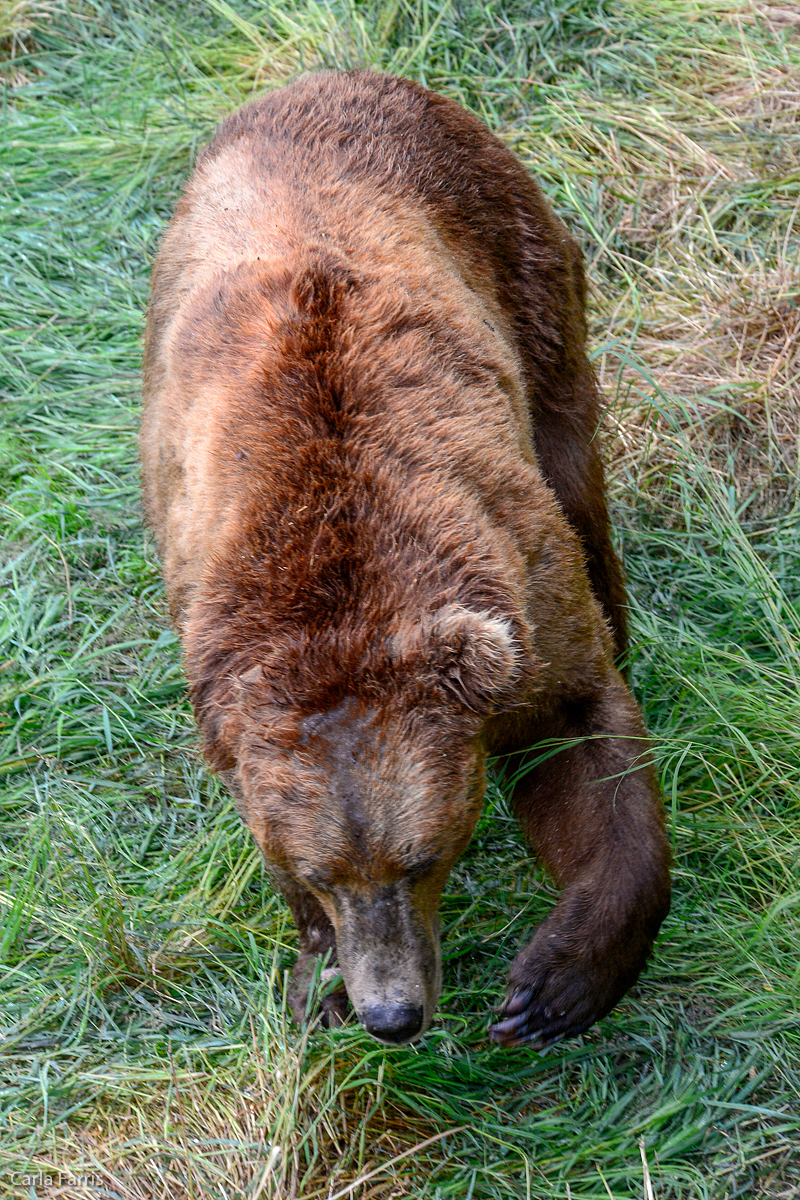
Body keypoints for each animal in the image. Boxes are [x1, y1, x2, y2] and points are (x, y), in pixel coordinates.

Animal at [142, 70, 671, 1046]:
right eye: (315, 873)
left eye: (424, 856)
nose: (392, 1012)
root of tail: (331, 74)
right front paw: (318, 979)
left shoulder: (517, 591)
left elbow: (583, 736)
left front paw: (551, 987)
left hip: (521, 266)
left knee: (576, 466)